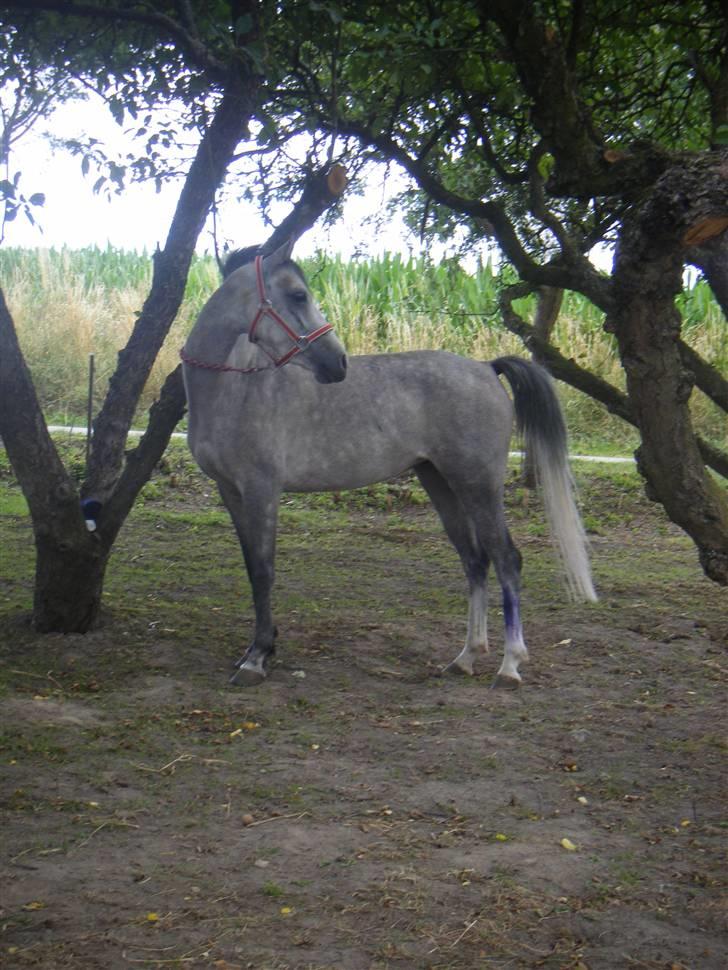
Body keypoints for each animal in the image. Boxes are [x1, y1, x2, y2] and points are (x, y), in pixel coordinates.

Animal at [182, 242, 596, 688]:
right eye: (298, 295)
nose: (339, 362)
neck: (235, 388)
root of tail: (487, 368)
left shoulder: (262, 490)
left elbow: (263, 571)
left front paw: (258, 657)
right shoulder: (231, 492)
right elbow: (250, 568)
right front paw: (258, 649)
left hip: (478, 486)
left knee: (506, 560)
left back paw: (509, 666)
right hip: (440, 482)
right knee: (475, 561)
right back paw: (465, 657)